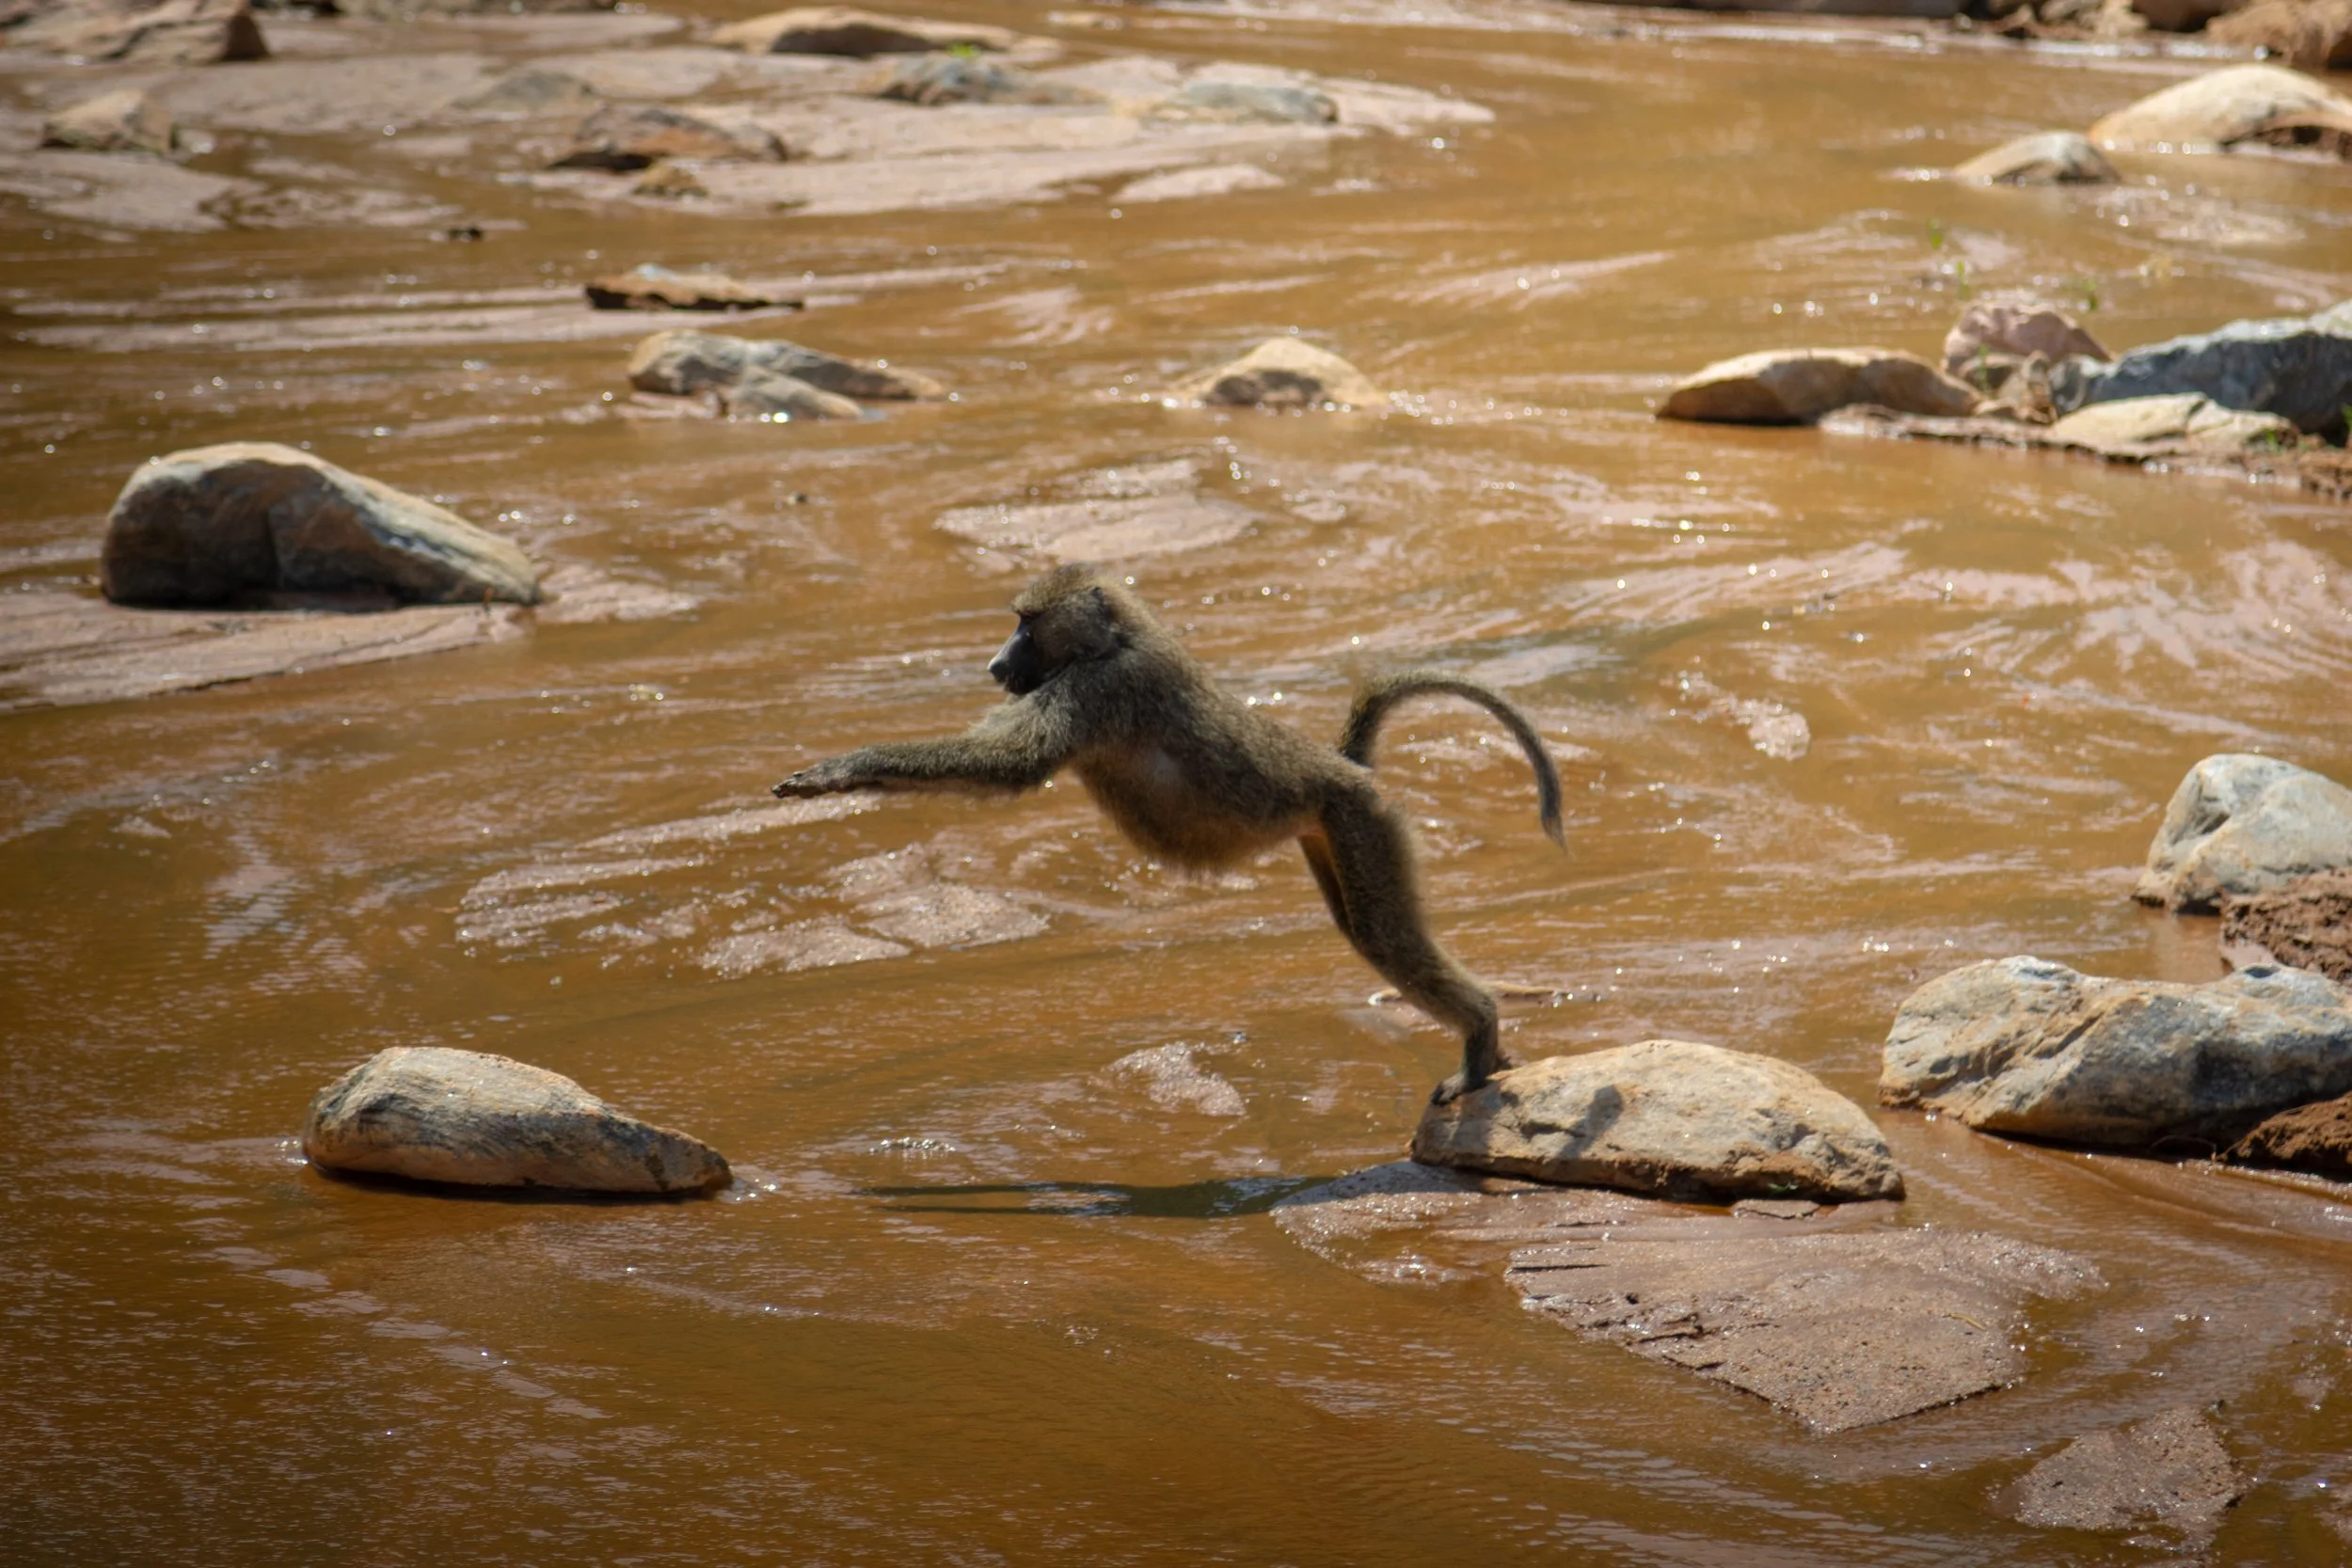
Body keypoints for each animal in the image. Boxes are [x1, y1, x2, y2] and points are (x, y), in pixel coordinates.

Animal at [773, 564, 1564, 1104]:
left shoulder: (1096, 689)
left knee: (1381, 936)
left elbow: (1009, 766)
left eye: (1027, 624)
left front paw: (840, 771)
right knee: (1365, 930)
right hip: (1335, 834)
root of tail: (1340, 766)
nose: (995, 665)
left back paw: (1479, 1043)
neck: (1114, 638)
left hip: (1359, 823)